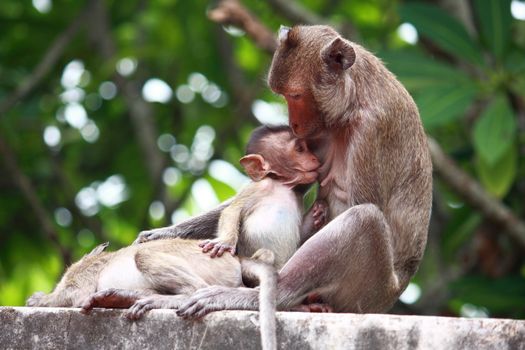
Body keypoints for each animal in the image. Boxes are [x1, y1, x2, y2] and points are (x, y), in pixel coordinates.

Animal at [137, 24, 432, 314]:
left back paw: (269, 295)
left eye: (296, 95)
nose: (293, 124)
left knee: (364, 218)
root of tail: (391, 296)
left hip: (369, 290)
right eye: (283, 96)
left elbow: (362, 204)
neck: (353, 101)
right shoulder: (318, 134)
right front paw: (163, 234)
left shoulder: (372, 130)